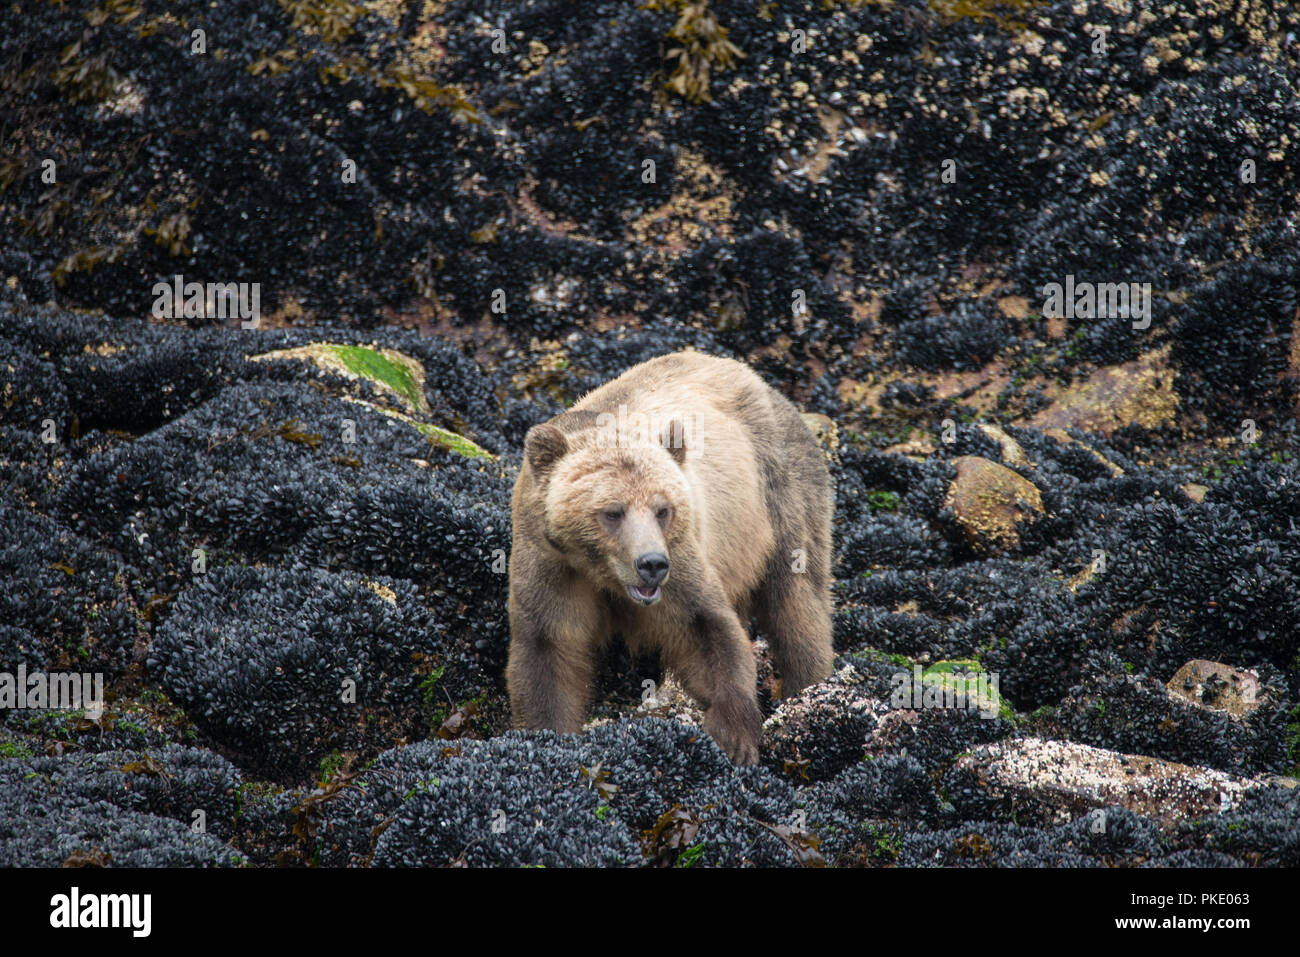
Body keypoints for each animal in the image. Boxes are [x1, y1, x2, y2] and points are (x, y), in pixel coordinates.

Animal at [506, 351, 834, 764]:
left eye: (662, 509)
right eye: (612, 511)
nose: (651, 564)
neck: (601, 574)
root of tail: (760, 381)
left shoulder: (681, 556)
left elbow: (704, 626)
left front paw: (733, 735)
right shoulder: (550, 563)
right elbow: (547, 649)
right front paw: (547, 737)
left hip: (779, 490)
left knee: (796, 598)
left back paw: (809, 687)